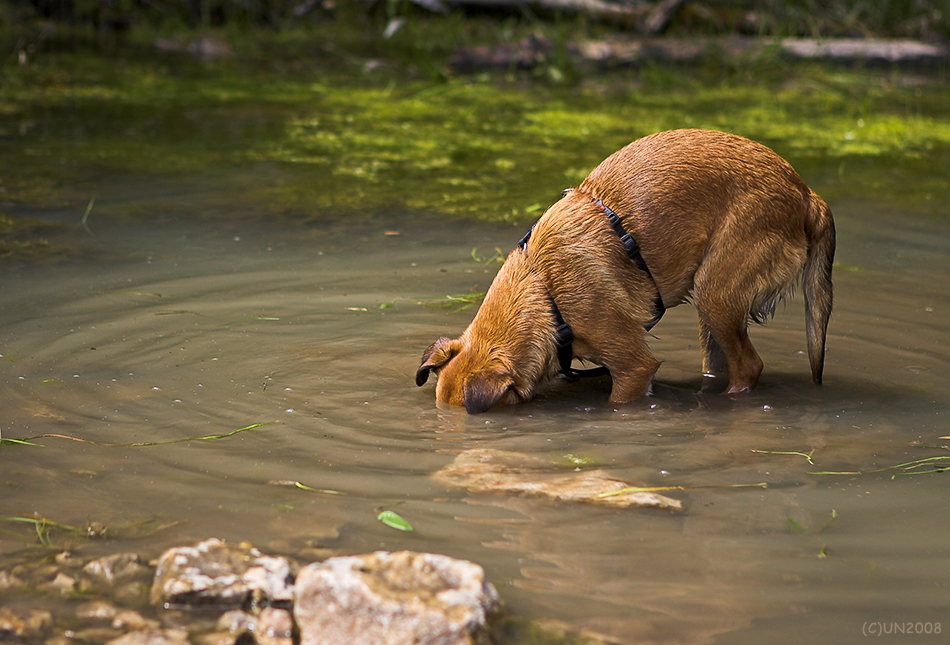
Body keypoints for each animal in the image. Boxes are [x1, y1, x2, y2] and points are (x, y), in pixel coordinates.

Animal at [412, 128, 836, 416]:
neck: (543, 289)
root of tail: (806, 194)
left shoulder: (633, 367)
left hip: (716, 294)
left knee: (749, 367)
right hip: (711, 312)